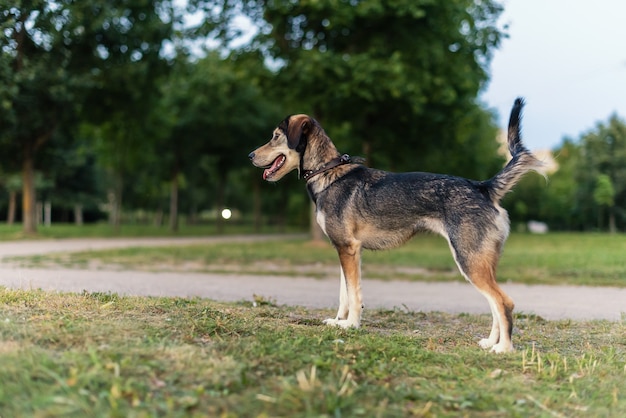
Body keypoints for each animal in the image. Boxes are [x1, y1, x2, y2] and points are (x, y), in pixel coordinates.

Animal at [249, 98, 540, 352]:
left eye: (275, 136)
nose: (250, 155)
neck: (328, 173)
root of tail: (483, 187)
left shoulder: (348, 249)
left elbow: (354, 295)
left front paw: (351, 325)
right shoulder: (345, 249)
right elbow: (344, 293)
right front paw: (339, 321)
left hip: (469, 260)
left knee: (504, 302)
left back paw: (503, 349)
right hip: (480, 262)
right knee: (494, 304)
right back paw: (491, 342)